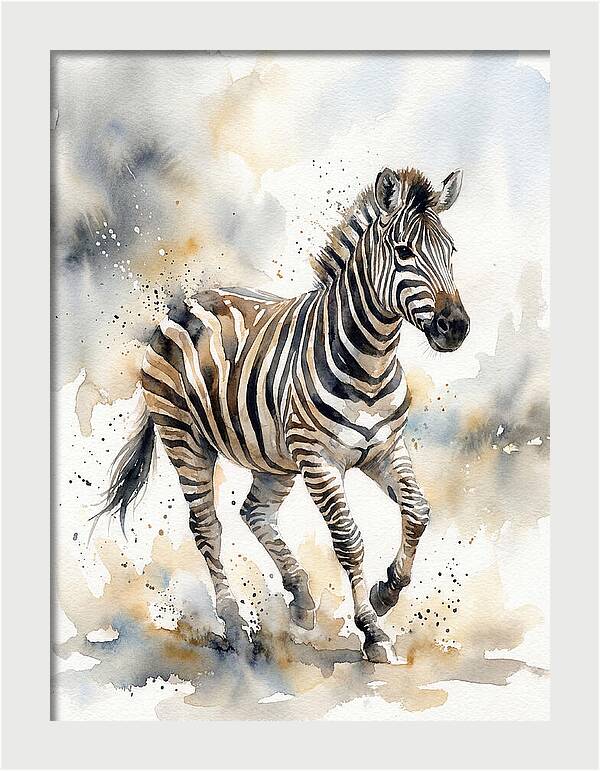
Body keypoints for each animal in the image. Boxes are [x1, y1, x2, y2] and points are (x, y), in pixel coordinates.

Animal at [97, 166, 469, 664]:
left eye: (451, 251)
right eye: (404, 252)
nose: (456, 328)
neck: (371, 363)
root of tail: (187, 302)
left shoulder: (385, 448)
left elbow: (417, 511)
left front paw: (387, 592)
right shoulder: (319, 459)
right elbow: (349, 540)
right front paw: (372, 631)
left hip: (273, 458)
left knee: (253, 513)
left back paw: (301, 599)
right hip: (186, 441)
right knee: (207, 527)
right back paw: (234, 627)